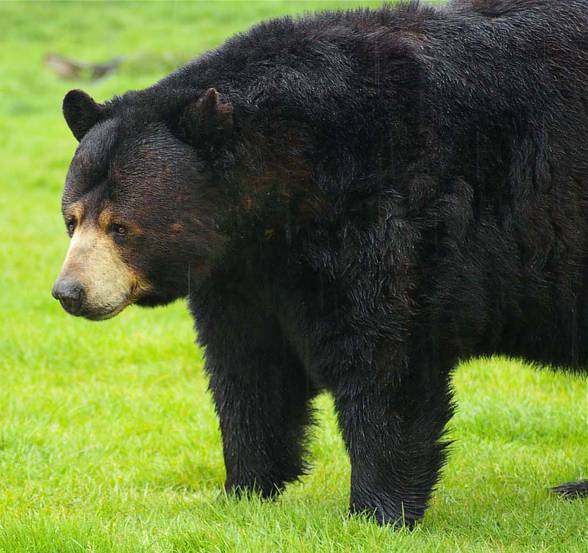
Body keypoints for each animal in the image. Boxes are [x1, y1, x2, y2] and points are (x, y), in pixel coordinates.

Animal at [52, 0, 584, 528]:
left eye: (121, 226)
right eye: (71, 218)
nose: (69, 292)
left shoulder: (386, 213)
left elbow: (383, 360)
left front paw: (377, 511)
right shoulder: (244, 269)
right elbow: (248, 367)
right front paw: (243, 489)